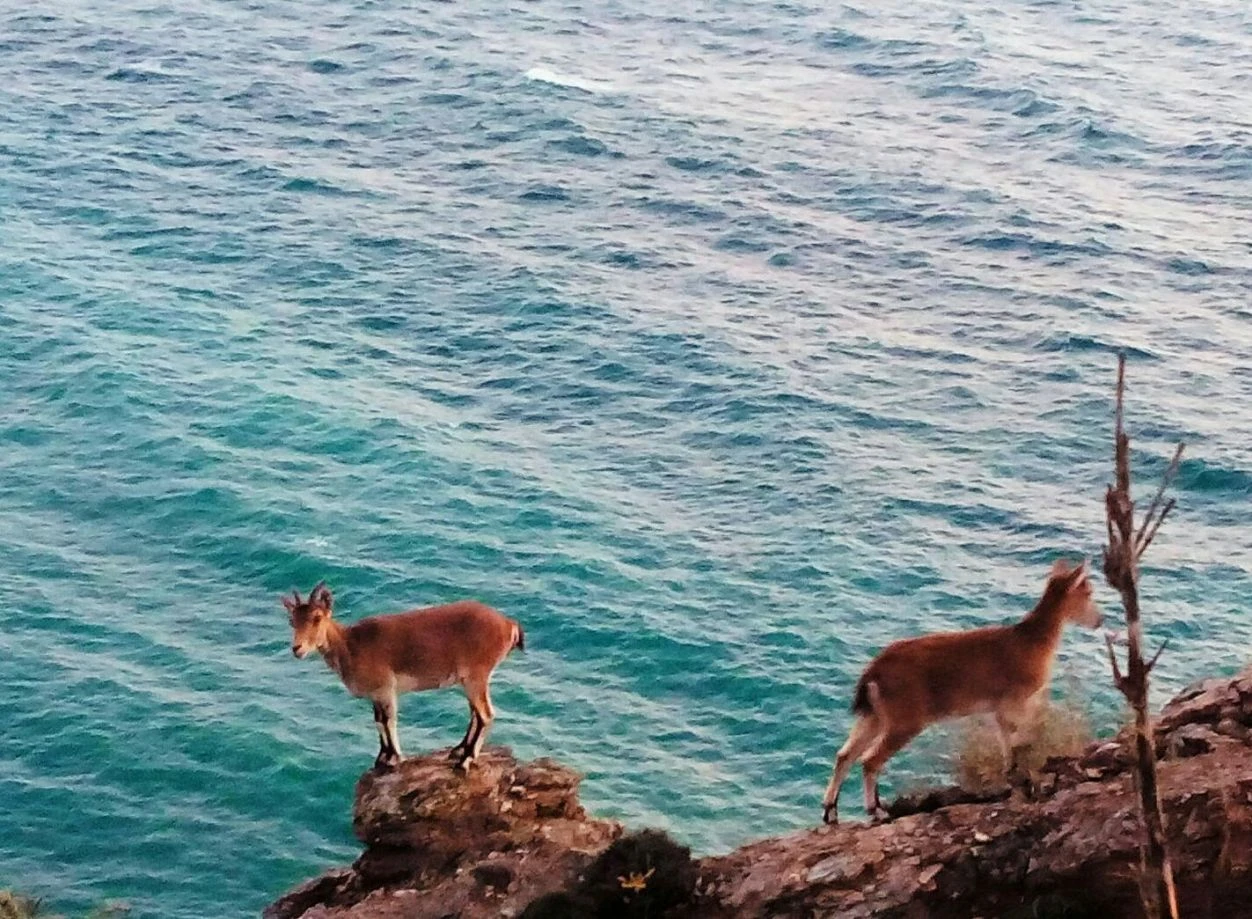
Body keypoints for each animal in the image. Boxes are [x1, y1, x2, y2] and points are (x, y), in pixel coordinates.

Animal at [283, 582, 524, 772]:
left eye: (317, 618)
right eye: (292, 621)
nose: (297, 649)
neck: (350, 646)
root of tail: (509, 625)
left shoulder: (386, 688)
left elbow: (389, 720)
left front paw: (395, 759)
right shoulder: (375, 694)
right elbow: (378, 720)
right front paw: (381, 758)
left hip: (476, 674)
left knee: (486, 714)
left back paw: (465, 761)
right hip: (471, 679)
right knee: (476, 712)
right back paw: (458, 750)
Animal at [821, 558, 1101, 825]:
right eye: (1087, 592)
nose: (1100, 621)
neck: (1033, 642)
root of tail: (873, 673)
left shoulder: (1000, 707)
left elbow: (1006, 739)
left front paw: (1011, 774)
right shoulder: (1015, 700)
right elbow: (1023, 733)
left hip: (875, 714)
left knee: (845, 755)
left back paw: (830, 811)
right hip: (905, 718)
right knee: (869, 760)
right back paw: (876, 811)